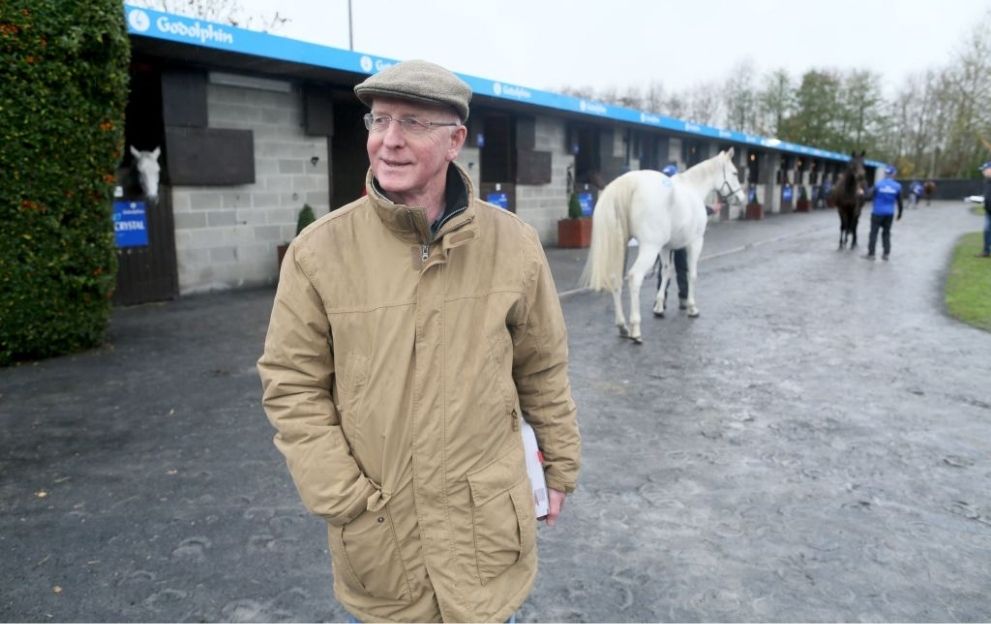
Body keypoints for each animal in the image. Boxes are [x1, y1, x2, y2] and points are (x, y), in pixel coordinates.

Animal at [580, 149, 744, 344]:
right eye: (735, 173)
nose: (741, 199)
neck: (693, 189)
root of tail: (628, 182)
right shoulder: (695, 242)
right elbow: (692, 274)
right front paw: (692, 308)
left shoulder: (665, 247)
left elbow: (666, 272)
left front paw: (658, 307)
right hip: (649, 248)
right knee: (634, 277)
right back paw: (635, 330)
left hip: (622, 246)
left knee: (615, 279)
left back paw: (622, 326)